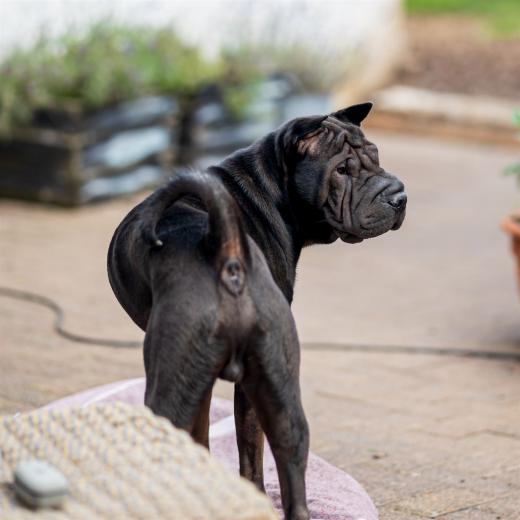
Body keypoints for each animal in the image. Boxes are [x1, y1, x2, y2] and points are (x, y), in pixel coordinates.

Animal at [107, 102, 406, 520]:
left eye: (375, 156)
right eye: (343, 170)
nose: (399, 196)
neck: (268, 187)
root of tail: (228, 255)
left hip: (173, 386)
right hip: (278, 387)